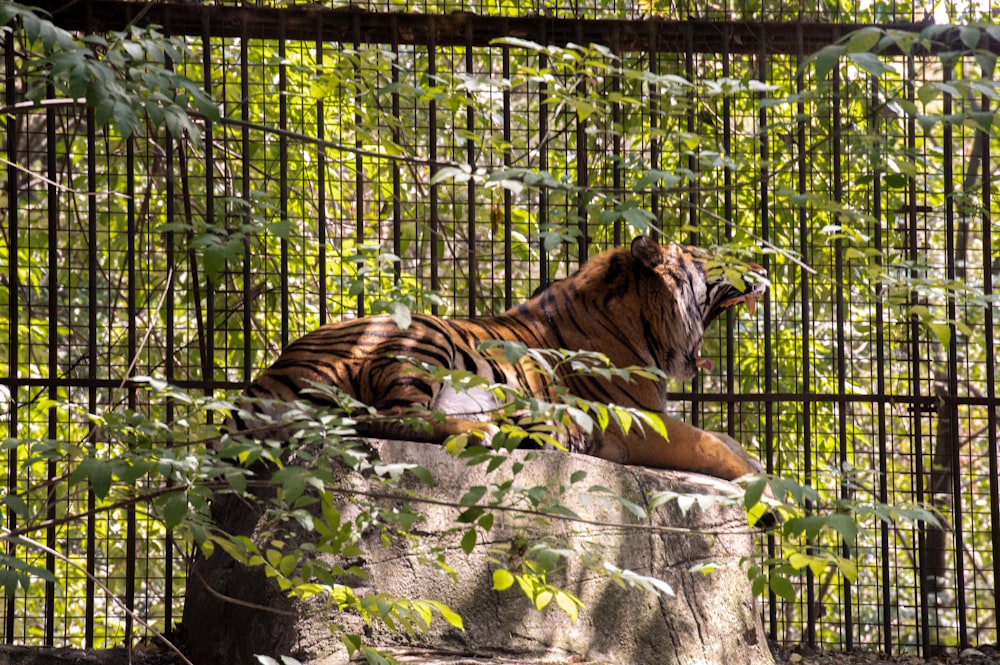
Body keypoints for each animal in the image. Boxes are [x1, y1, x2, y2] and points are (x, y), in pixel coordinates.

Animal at [236, 236, 764, 480]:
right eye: (715, 258)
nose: (763, 267)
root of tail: (265, 379)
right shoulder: (635, 421)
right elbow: (712, 446)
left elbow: (724, 439)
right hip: (421, 337)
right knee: (386, 418)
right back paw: (484, 430)